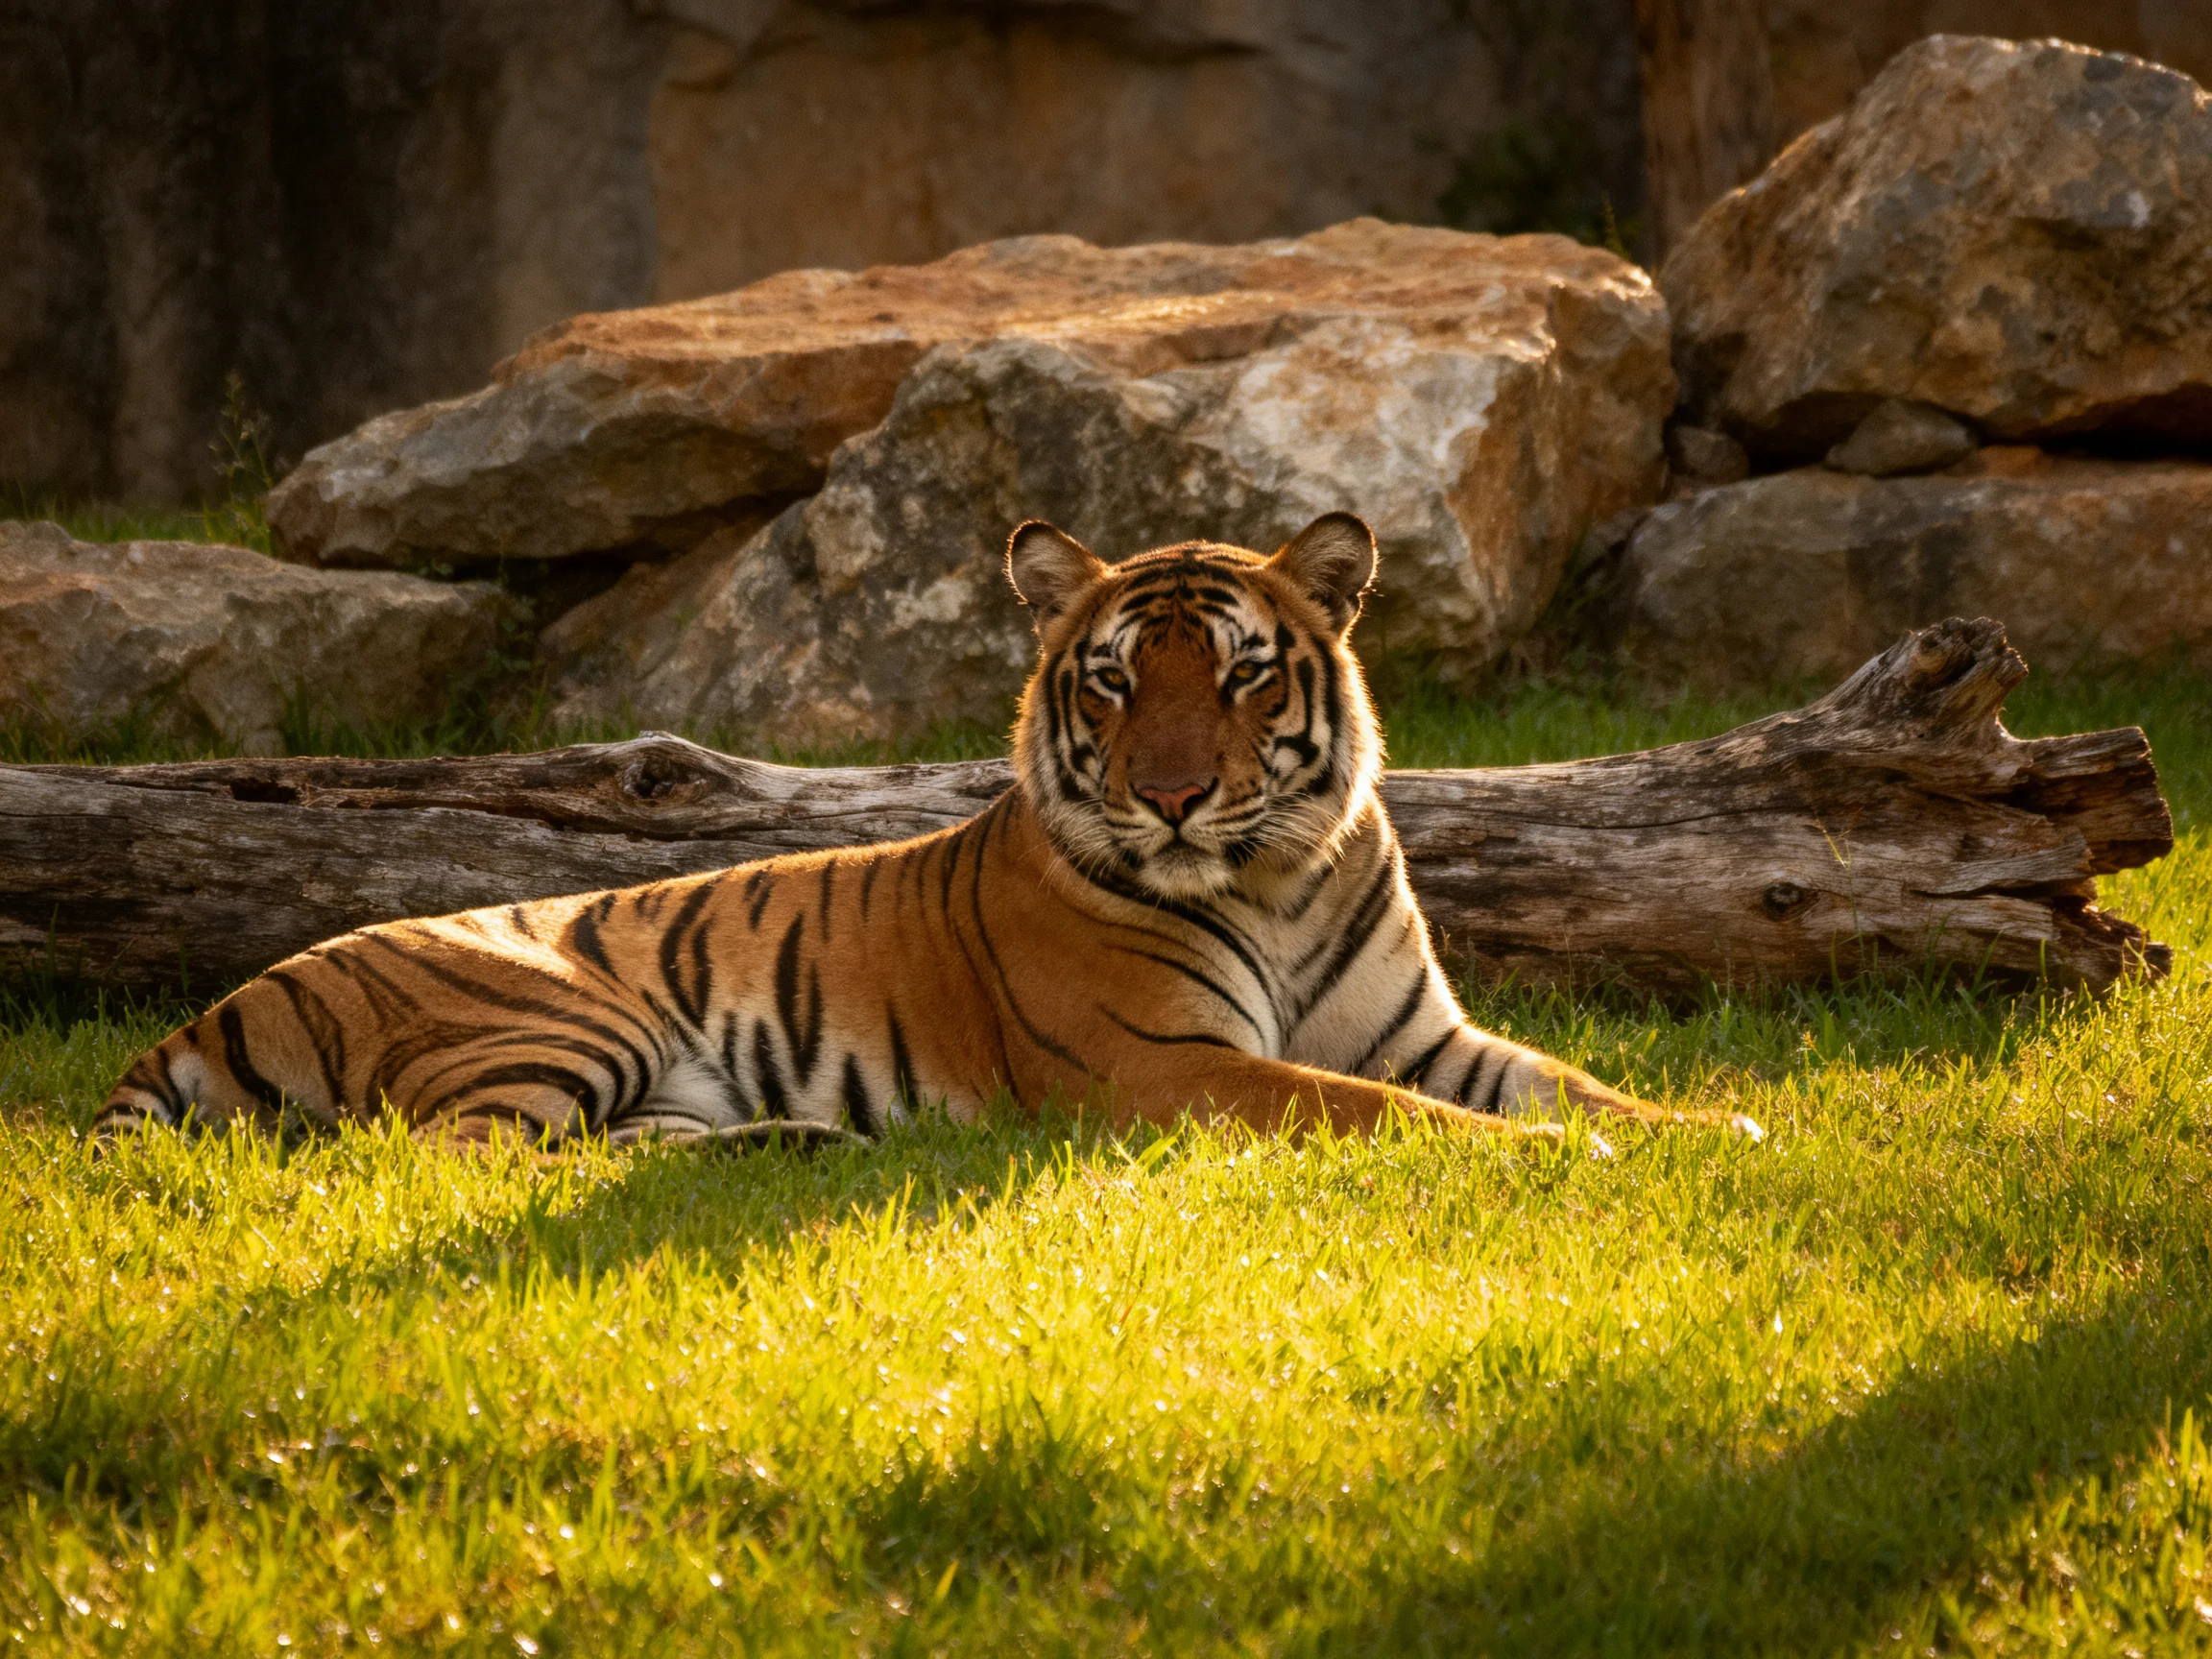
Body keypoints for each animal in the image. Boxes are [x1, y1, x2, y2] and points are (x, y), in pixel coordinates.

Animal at [97, 512, 1759, 1152]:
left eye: (1240, 673)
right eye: (1114, 680)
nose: (1172, 795)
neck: (1278, 874)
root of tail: (227, 997)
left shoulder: (1422, 1031)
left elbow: (1577, 1083)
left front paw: (1715, 1129)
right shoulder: (1169, 1067)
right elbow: (1381, 1115)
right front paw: (1534, 1162)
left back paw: (793, 1144)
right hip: (555, 1022)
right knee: (457, 1160)